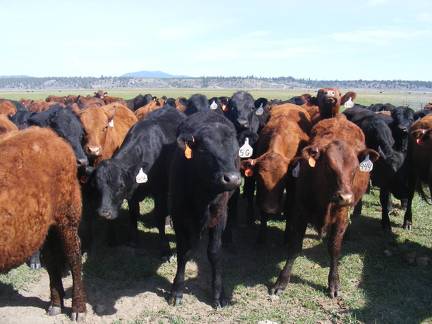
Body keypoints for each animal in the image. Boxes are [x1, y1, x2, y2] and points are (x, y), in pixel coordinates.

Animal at [0, 126, 86, 318]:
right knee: (51, 259)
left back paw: (78, 308)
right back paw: (55, 303)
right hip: (45, 226)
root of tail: (48, 134)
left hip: (67, 216)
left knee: (74, 256)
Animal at [91, 106, 186, 256]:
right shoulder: (132, 194)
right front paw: (133, 241)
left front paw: (165, 247)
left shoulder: (159, 192)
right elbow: (133, 215)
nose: (104, 213)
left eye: (120, 186)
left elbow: (159, 216)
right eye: (97, 186)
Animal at [170, 110, 243, 308]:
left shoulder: (220, 215)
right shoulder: (178, 215)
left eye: (236, 152)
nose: (232, 178)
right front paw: (176, 290)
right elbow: (184, 251)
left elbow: (214, 252)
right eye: (205, 151)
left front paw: (218, 293)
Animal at [241, 102, 312, 242]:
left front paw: (287, 238)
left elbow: (290, 208)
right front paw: (262, 238)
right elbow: (262, 212)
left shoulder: (292, 184)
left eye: (284, 180)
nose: (271, 208)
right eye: (259, 179)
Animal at [272, 114, 376, 298]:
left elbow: (334, 248)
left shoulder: (341, 215)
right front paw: (282, 281)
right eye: (328, 166)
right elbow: (295, 246)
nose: (345, 197)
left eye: (356, 168)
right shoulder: (300, 212)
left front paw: (334, 283)